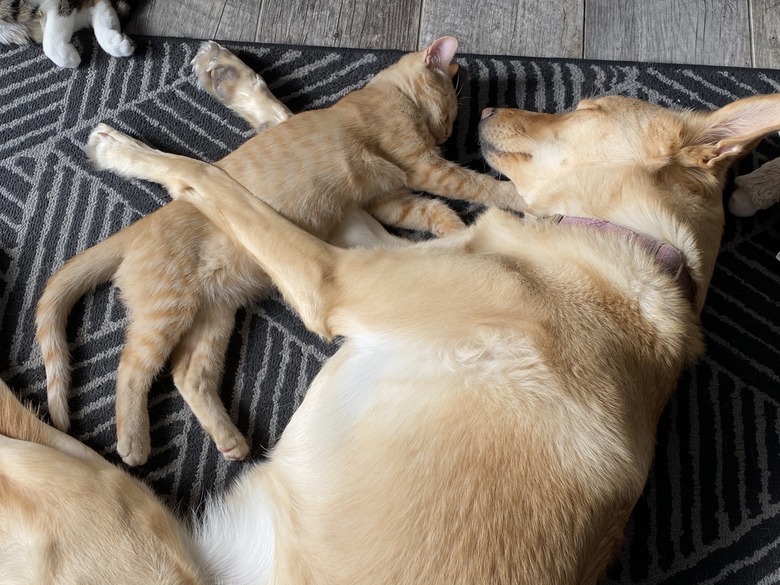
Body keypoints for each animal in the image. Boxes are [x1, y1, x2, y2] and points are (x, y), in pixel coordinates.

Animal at [4, 91, 780, 580]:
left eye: (587, 109)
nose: (486, 108)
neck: (624, 240)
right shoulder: (362, 241)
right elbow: (320, 158)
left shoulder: (335, 279)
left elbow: (219, 183)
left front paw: (132, 152)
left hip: (102, 497)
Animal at [39, 36, 520, 466]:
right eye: (451, 111)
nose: (445, 135)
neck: (383, 96)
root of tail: (140, 229)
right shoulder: (420, 167)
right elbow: (471, 185)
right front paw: (511, 197)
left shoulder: (386, 202)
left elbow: (427, 211)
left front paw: (452, 228)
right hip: (167, 310)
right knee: (131, 367)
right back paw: (134, 443)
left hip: (213, 316)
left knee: (188, 374)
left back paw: (230, 439)